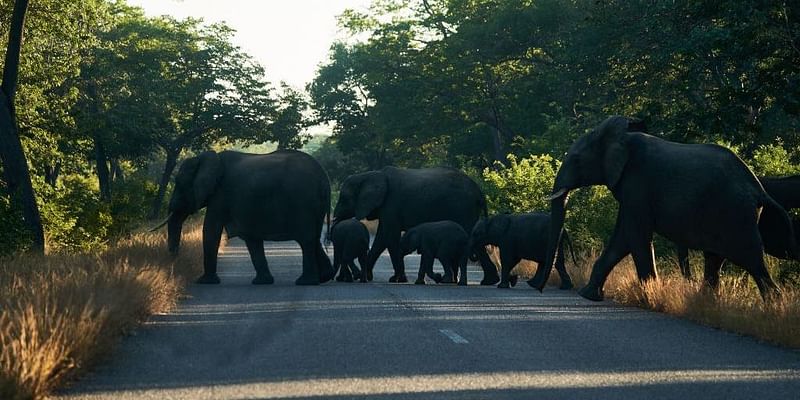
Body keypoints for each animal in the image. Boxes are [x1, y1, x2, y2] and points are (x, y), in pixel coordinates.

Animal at [153, 149, 334, 284]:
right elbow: (251, 238)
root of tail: (324, 178)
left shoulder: (220, 194)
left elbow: (211, 230)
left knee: (306, 240)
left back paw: (305, 282)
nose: (173, 261)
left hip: (302, 202)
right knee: (313, 238)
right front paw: (262, 282)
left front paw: (204, 282)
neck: (205, 158)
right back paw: (323, 278)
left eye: (179, 183)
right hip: (314, 207)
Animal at [332, 166, 496, 284]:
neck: (370, 175)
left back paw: (487, 281)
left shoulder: (391, 205)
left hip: (462, 208)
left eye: (344, 199)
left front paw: (397, 280)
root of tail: (479, 192)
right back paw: (488, 281)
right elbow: (381, 239)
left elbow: (390, 237)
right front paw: (368, 277)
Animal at [528, 115, 796, 300]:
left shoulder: (637, 184)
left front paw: (649, 296)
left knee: (752, 261)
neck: (622, 137)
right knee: (715, 259)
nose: (538, 288)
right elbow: (623, 237)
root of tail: (758, 188)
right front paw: (589, 295)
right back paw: (705, 302)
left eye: (576, 160)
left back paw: (773, 306)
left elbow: (635, 235)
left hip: (735, 215)